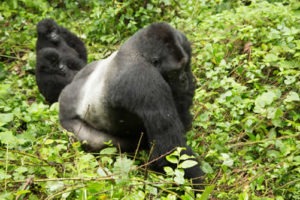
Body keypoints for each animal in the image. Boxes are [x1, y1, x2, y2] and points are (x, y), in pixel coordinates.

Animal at [58, 22, 204, 187]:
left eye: (184, 65)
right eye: (174, 72)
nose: (184, 79)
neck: (140, 52)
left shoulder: (183, 42)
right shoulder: (144, 79)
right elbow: (169, 149)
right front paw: (199, 183)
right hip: (68, 123)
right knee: (97, 142)